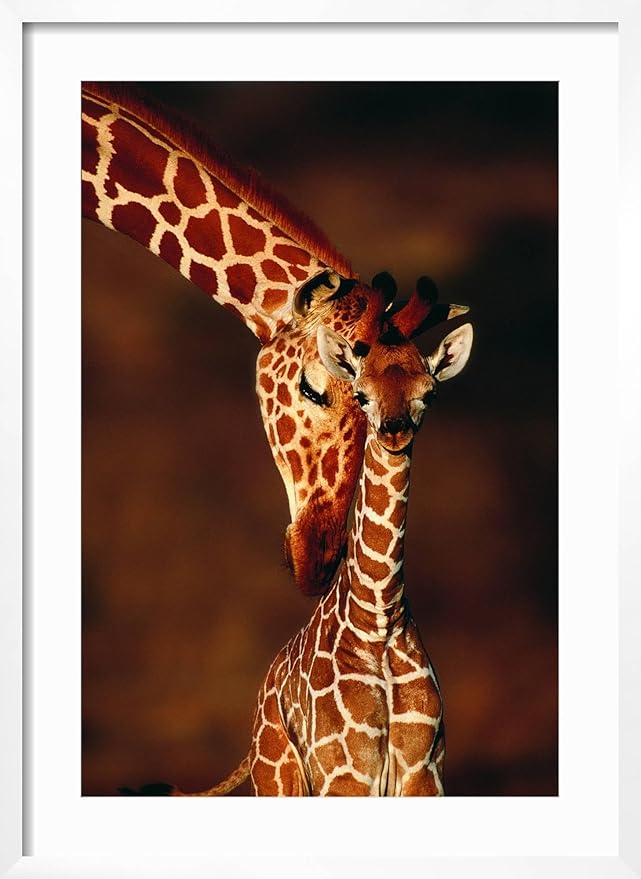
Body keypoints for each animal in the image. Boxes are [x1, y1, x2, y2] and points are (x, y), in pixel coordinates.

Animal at [169, 292, 472, 796]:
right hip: (279, 778)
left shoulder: (424, 772)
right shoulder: (344, 774)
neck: (379, 619)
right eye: (361, 393)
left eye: (429, 393)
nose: (394, 430)